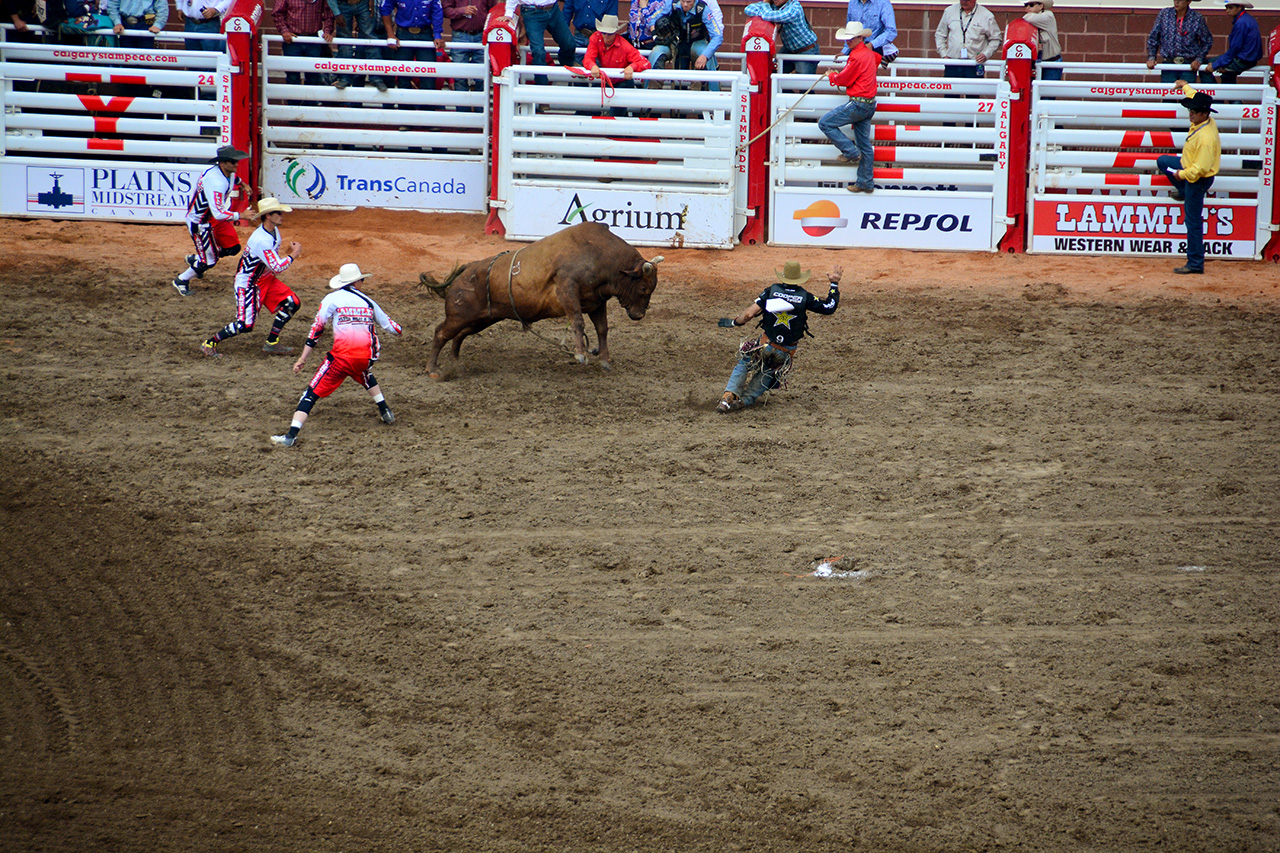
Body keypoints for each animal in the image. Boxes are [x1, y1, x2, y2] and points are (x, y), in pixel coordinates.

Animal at [419, 220, 665, 376]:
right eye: (643, 288)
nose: (639, 315)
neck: (599, 255)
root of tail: (467, 268)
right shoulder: (567, 290)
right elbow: (578, 322)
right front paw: (581, 354)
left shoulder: (597, 302)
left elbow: (602, 329)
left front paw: (604, 360)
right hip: (460, 315)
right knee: (441, 333)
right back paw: (433, 369)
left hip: (483, 318)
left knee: (459, 336)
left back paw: (456, 364)